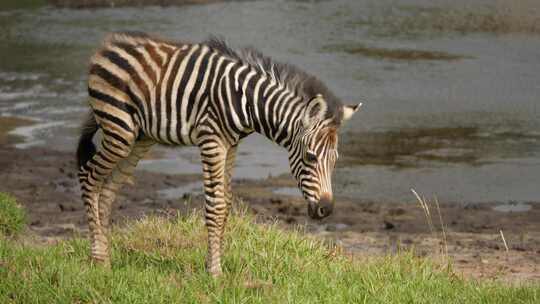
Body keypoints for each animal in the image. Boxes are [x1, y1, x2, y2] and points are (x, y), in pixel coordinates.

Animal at [76, 32, 360, 276]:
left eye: (335, 160)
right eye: (311, 157)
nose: (326, 210)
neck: (249, 103)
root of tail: (109, 44)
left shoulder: (231, 145)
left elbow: (226, 204)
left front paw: (210, 264)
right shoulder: (211, 140)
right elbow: (215, 206)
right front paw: (215, 273)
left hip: (140, 137)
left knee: (108, 189)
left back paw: (107, 255)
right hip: (119, 129)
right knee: (89, 178)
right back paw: (98, 259)